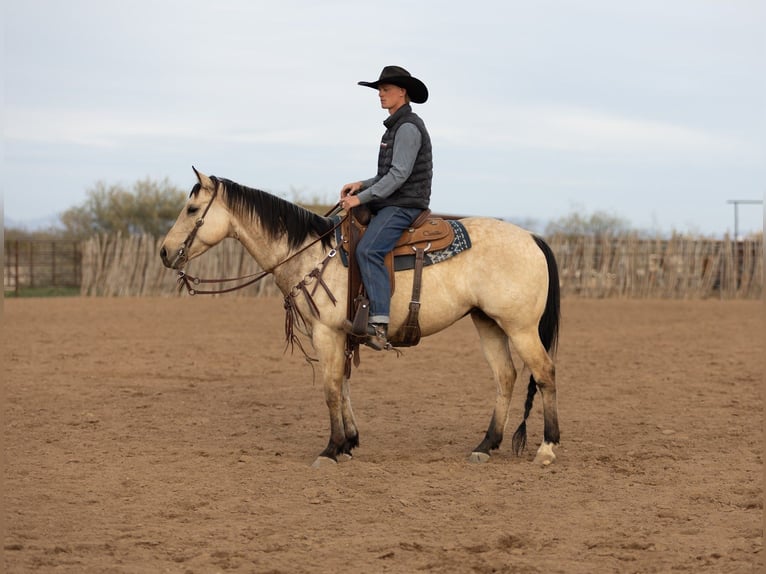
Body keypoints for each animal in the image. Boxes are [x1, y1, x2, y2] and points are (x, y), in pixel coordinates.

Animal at [160, 168, 561, 468]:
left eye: (192, 209)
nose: (165, 252)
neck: (310, 252)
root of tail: (533, 237)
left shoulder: (325, 332)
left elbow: (331, 387)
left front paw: (330, 449)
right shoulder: (341, 335)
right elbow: (344, 385)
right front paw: (349, 442)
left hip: (520, 328)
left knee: (544, 372)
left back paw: (547, 447)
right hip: (487, 322)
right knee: (505, 376)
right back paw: (485, 445)